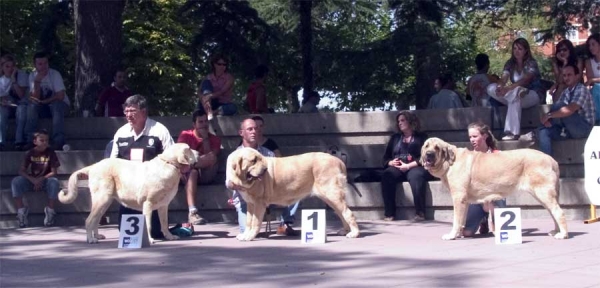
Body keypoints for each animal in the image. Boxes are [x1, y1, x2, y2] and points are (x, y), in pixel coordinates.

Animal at [58, 143, 196, 243]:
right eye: (189, 149)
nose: (199, 153)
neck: (169, 165)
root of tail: (93, 166)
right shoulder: (148, 204)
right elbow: (148, 225)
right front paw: (150, 239)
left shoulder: (163, 206)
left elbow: (164, 223)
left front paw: (169, 236)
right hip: (102, 199)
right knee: (89, 220)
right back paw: (91, 239)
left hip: (105, 202)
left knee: (96, 220)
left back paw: (97, 236)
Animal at [224, 148, 356, 241]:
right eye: (253, 160)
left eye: (259, 159)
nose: (265, 170)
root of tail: (339, 161)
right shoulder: (251, 204)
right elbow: (248, 221)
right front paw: (245, 234)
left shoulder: (259, 203)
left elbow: (255, 222)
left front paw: (250, 236)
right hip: (330, 198)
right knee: (341, 213)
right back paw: (345, 231)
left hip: (332, 194)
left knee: (348, 213)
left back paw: (354, 233)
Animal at [422, 137, 568, 241]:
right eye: (426, 146)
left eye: (437, 148)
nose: (428, 154)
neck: (450, 161)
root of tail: (551, 159)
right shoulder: (465, 201)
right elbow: (462, 220)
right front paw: (457, 234)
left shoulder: (458, 198)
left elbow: (456, 220)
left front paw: (451, 235)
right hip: (542, 195)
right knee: (552, 212)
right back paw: (556, 231)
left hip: (543, 192)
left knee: (558, 212)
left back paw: (563, 234)